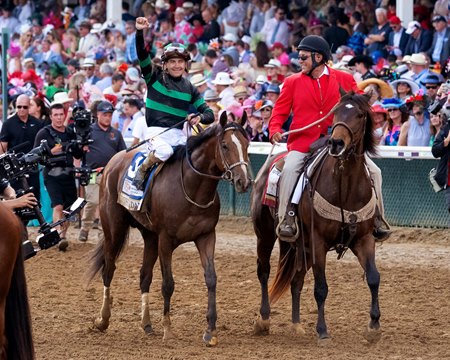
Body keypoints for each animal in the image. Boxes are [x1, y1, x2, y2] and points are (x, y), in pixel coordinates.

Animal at [88, 112, 250, 346]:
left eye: (247, 144)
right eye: (225, 145)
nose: (243, 182)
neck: (193, 188)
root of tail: (113, 161)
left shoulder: (206, 236)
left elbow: (211, 279)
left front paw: (210, 330)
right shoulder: (166, 240)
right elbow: (168, 284)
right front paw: (168, 329)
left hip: (149, 236)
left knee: (144, 275)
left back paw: (146, 324)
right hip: (114, 229)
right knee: (108, 269)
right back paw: (103, 320)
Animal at [251, 92, 382, 344]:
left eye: (360, 114)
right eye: (336, 112)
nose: (336, 143)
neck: (345, 187)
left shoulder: (364, 239)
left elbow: (373, 277)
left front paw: (373, 326)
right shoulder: (318, 241)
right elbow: (321, 287)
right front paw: (322, 330)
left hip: (298, 246)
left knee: (296, 280)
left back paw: (296, 325)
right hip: (265, 235)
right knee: (264, 272)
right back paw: (263, 320)